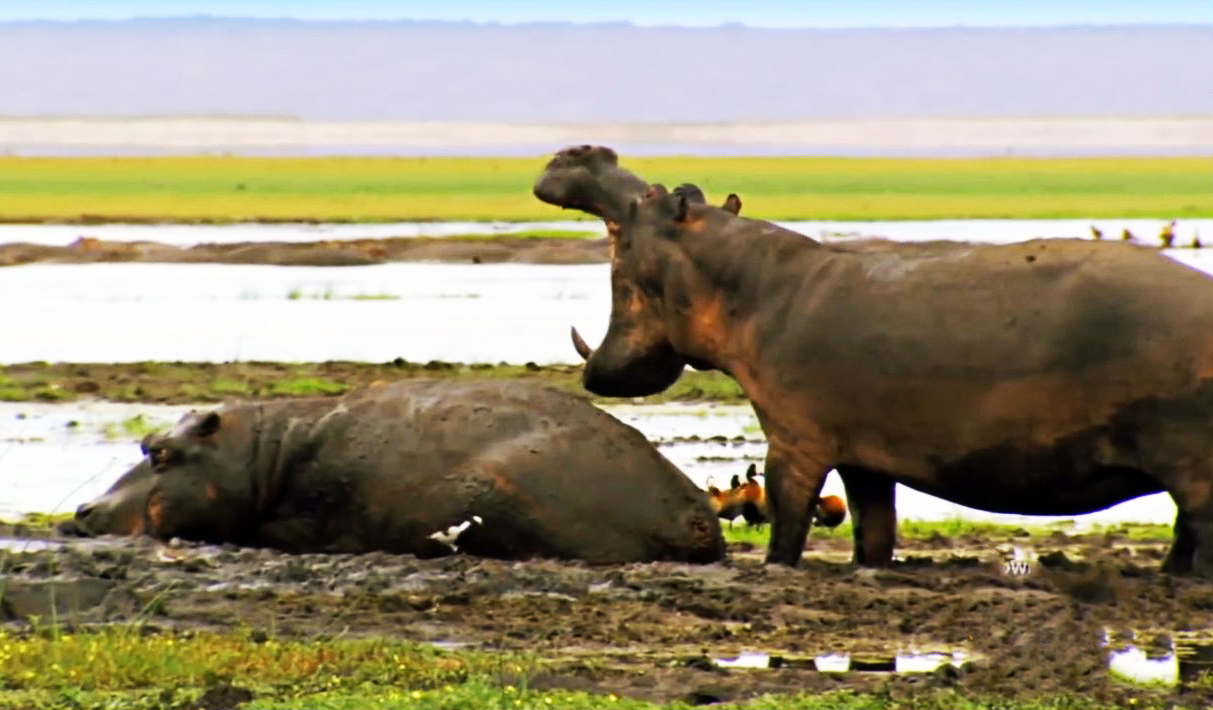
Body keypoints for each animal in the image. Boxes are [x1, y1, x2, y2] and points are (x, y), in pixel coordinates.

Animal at [533, 142, 1213, 575]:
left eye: (649, 199)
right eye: (685, 190)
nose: (582, 151)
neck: (739, 281)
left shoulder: (794, 438)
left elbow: (788, 516)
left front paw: (777, 567)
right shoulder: (863, 454)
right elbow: (874, 527)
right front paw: (869, 567)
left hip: (1189, 461)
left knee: (1196, 526)